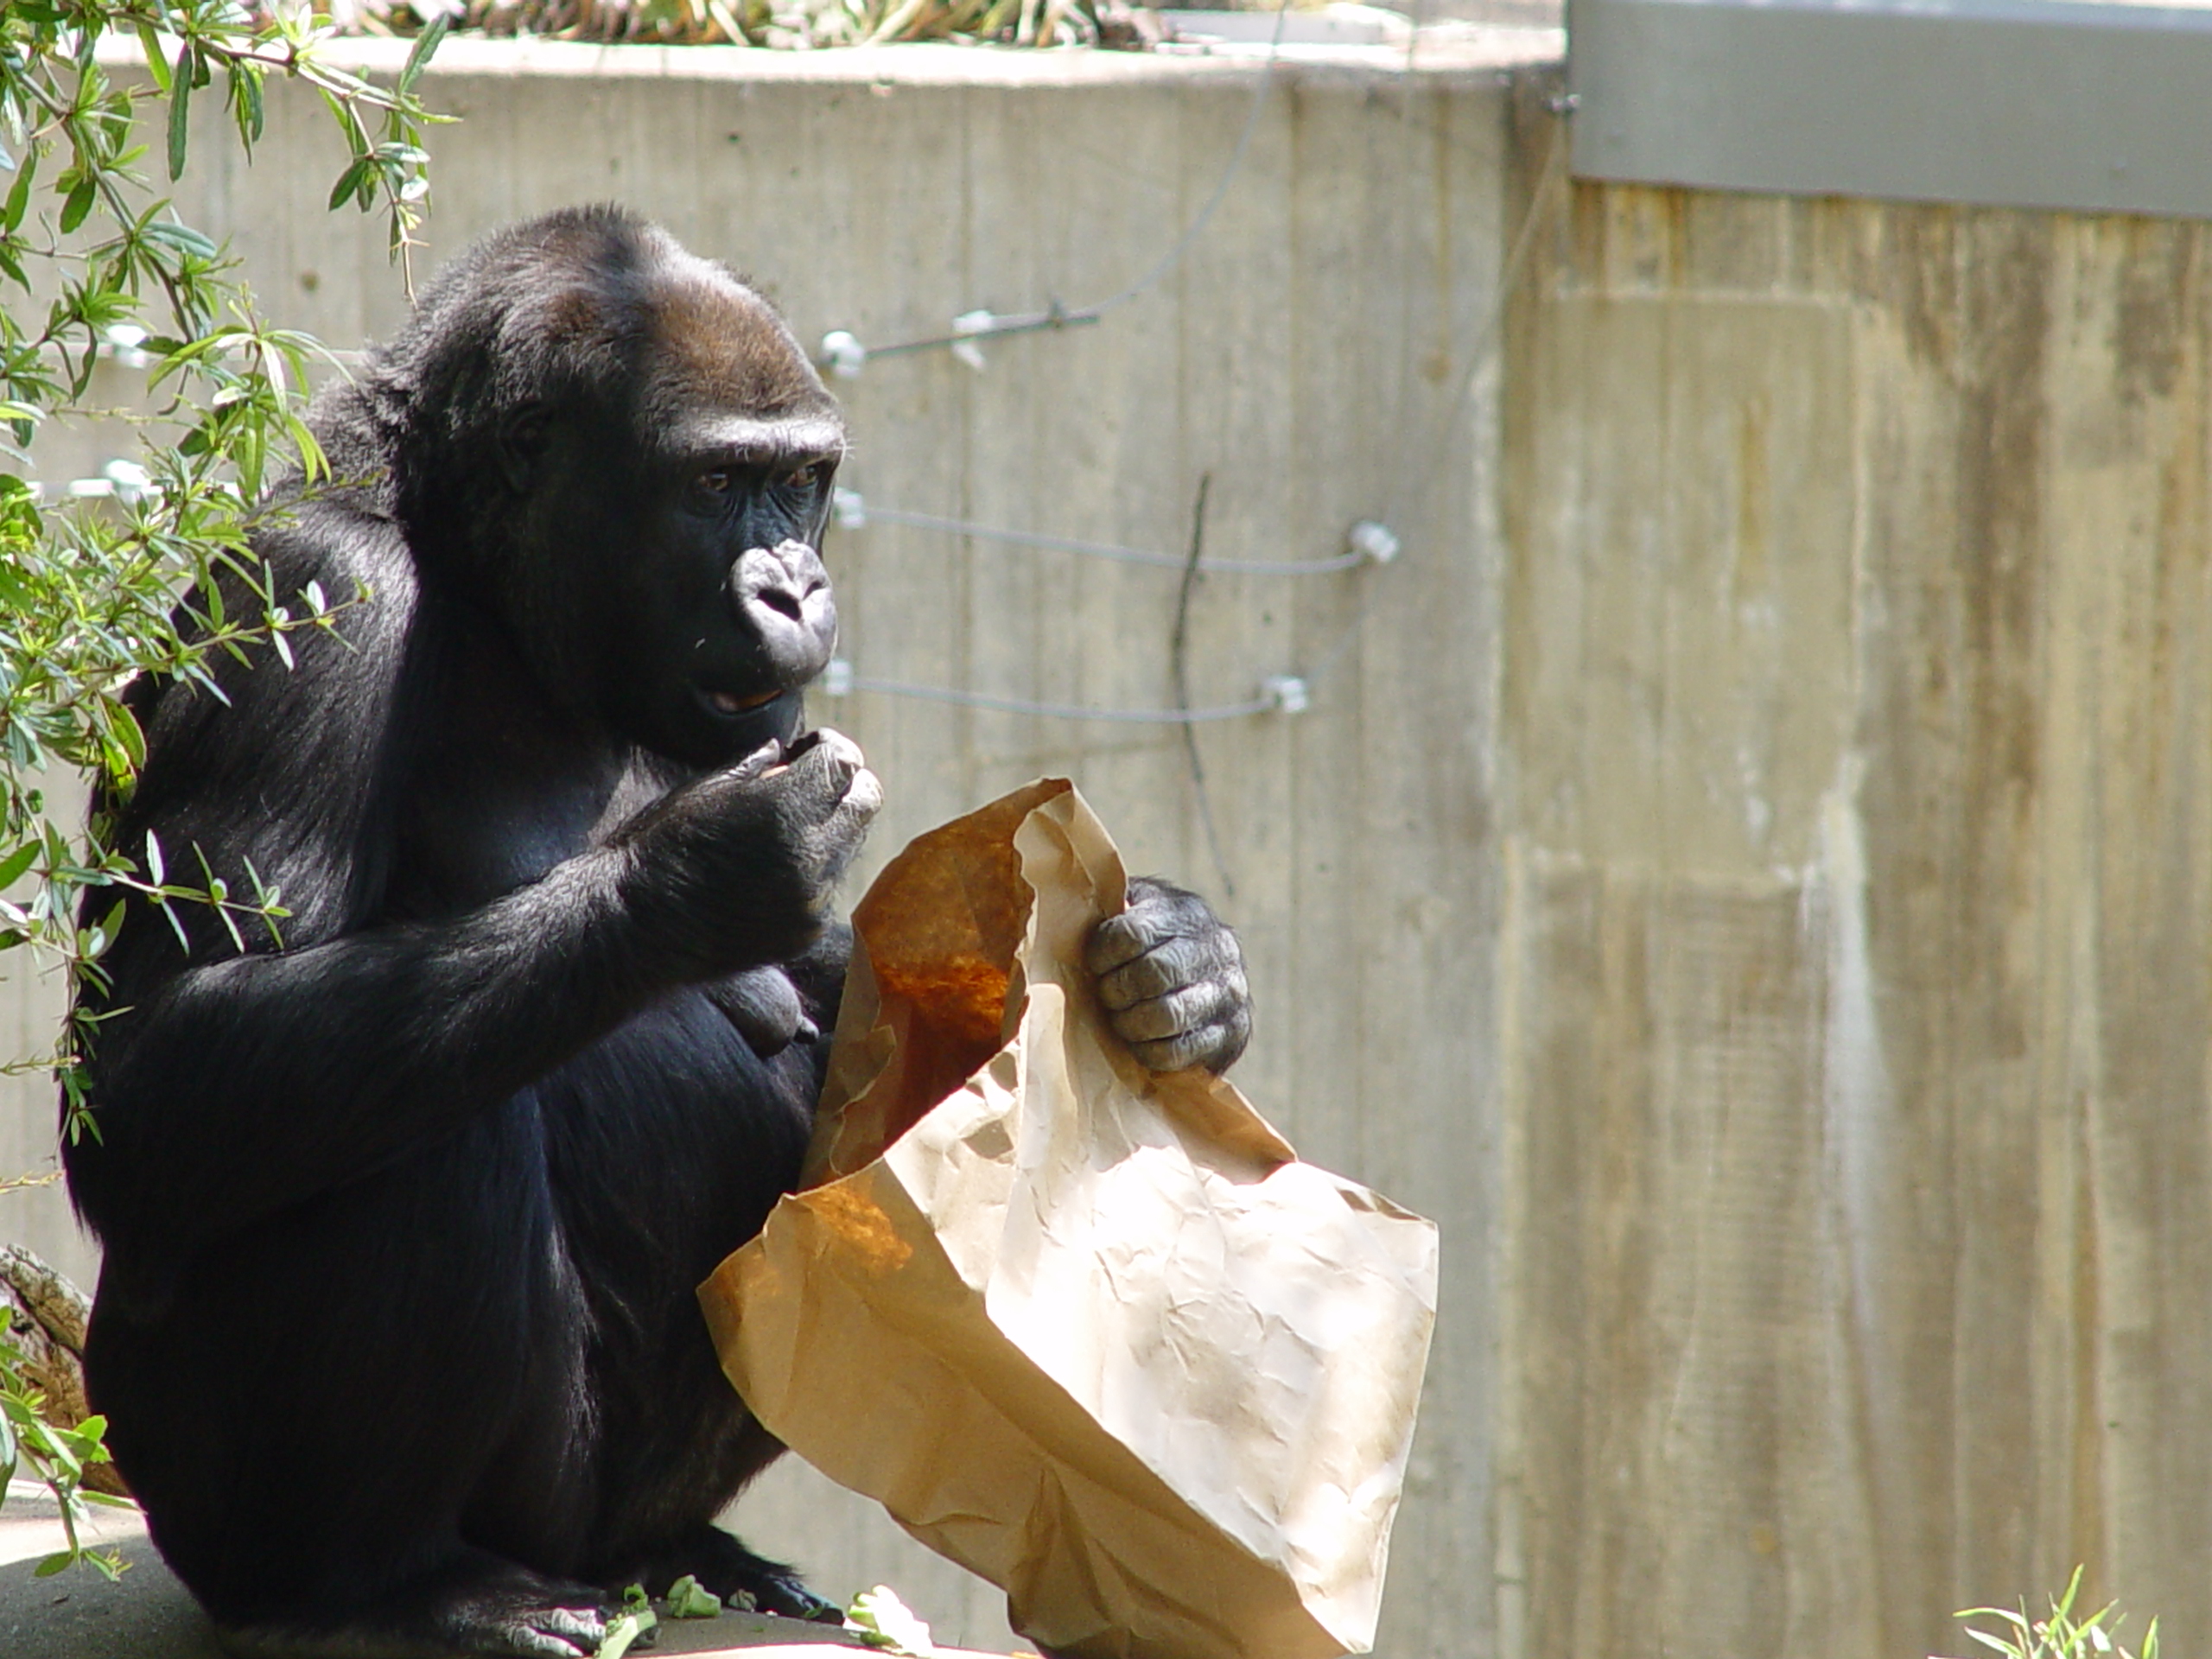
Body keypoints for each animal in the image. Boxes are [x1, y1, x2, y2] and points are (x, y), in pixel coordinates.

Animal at [60, 200, 1256, 1654]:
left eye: (799, 481)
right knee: (399, 1125)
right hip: (200, 1486)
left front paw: (1181, 972)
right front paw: (704, 874)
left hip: (607, 1518)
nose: (794, 584)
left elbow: (881, 999)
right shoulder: (314, 592)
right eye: (713, 484)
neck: (485, 582)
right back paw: (388, 1587)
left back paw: (684, 1550)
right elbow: (157, 1071)